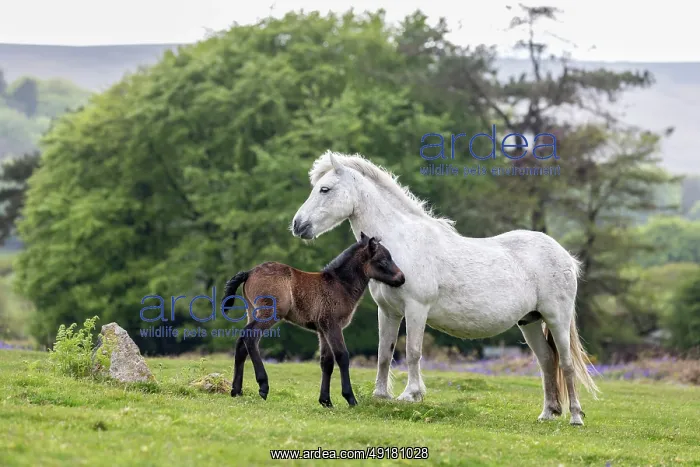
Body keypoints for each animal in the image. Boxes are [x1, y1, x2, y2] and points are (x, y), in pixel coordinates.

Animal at [224, 232, 405, 407]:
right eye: (383, 260)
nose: (402, 278)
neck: (340, 285)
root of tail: (249, 272)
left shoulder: (322, 329)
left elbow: (327, 362)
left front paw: (326, 401)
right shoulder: (332, 325)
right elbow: (342, 356)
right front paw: (350, 398)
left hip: (252, 311)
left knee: (241, 341)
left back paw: (236, 390)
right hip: (269, 313)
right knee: (250, 336)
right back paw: (263, 385)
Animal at [290, 150, 600, 425]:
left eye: (325, 189)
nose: (298, 225)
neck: (402, 242)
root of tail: (566, 256)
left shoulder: (416, 309)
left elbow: (413, 352)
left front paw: (411, 395)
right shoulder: (388, 312)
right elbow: (384, 353)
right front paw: (380, 396)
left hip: (557, 318)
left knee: (566, 363)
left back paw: (575, 417)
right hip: (530, 321)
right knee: (547, 361)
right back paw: (548, 413)